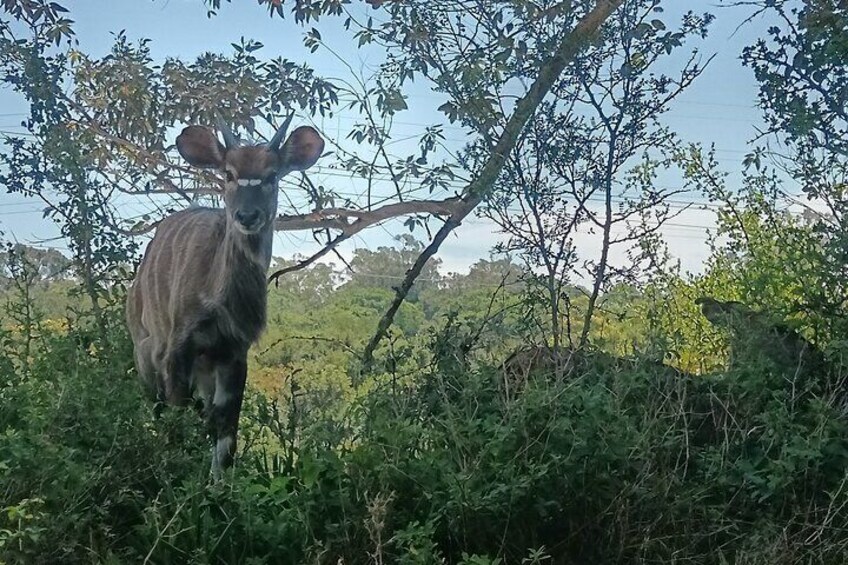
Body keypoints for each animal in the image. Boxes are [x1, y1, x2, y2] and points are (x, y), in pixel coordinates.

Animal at [126, 114, 324, 476]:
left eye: (272, 175)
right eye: (228, 174)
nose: (247, 215)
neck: (219, 300)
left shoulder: (234, 353)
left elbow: (225, 433)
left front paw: (219, 485)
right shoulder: (177, 350)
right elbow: (178, 421)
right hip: (146, 354)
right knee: (160, 409)